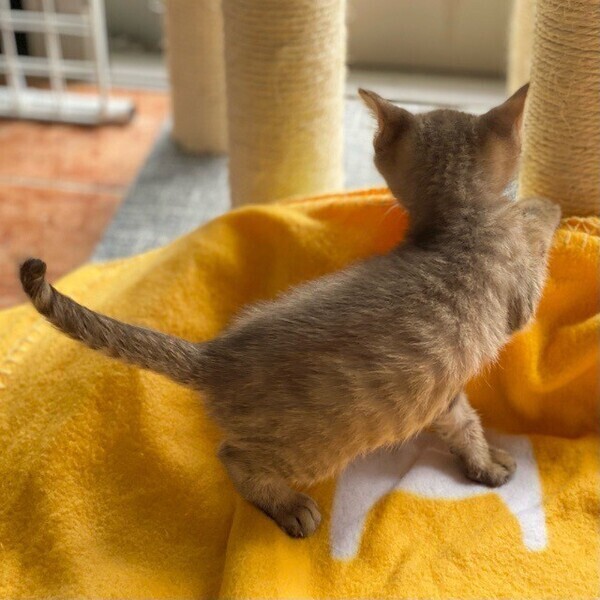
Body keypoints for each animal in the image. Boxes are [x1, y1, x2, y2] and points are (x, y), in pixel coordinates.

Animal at [20, 83, 560, 539]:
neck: (454, 226)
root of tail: (216, 355)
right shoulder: (518, 297)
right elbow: (533, 226)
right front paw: (547, 204)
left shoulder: (443, 394)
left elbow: (465, 424)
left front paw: (484, 461)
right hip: (314, 447)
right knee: (233, 457)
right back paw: (289, 507)